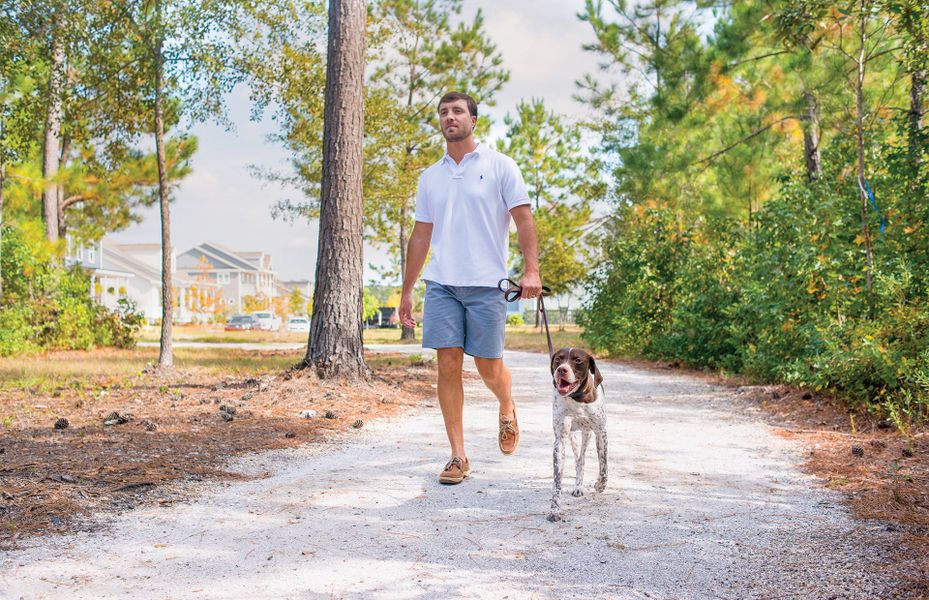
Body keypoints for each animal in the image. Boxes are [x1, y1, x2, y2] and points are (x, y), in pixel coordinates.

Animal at [548, 346, 604, 520]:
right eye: (558, 359)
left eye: (578, 360)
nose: (561, 370)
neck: (577, 398)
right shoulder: (560, 439)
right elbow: (557, 480)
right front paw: (555, 509)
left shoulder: (601, 432)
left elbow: (604, 465)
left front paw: (600, 485)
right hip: (572, 436)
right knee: (578, 460)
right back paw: (577, 486)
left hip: (587, 434)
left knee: (582, 459)